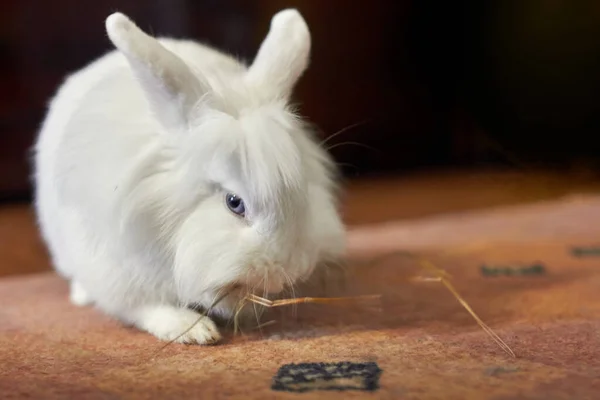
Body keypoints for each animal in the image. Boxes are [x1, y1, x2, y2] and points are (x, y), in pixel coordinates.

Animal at [32, 10, 344, 346]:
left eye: (302, 192)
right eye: (234, 203)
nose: (288, 268)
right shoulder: (117, 273)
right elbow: (145, 307)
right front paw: (195, 331)